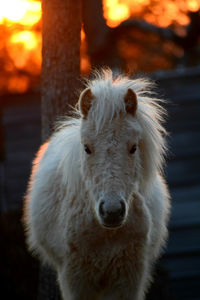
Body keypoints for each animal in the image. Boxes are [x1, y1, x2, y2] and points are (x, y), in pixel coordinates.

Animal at [23, 69, 170, 298]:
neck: (105, 235)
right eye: (86, 148)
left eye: (133, 147)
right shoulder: (76, 278)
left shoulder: (129, 278)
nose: (112, 211)